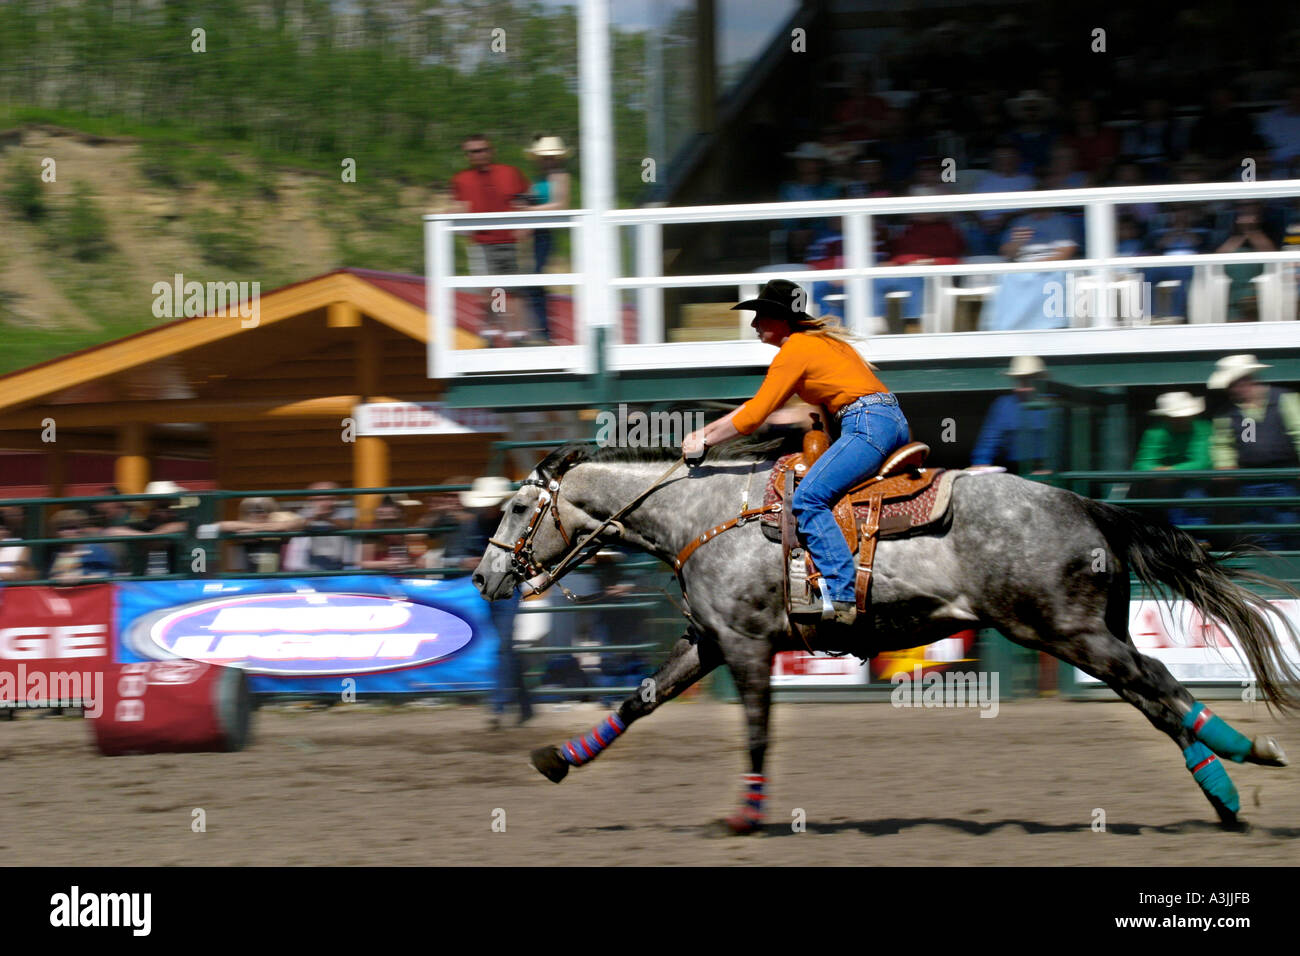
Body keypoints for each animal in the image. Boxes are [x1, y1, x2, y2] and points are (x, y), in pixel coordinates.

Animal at [475, 437, 1300, 832]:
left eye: (517, 509)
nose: (485, 580)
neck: (704, 516)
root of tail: (1083, 504)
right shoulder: (708, 640)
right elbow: (638, 699)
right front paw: (558, 758)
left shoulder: (744, 647)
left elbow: (756, 731)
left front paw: (747, 815)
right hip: (1090, 632)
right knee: (1155, 700)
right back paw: (1227, 788)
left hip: (1068, 632)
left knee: (1157, 687)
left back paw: (1244, 761)